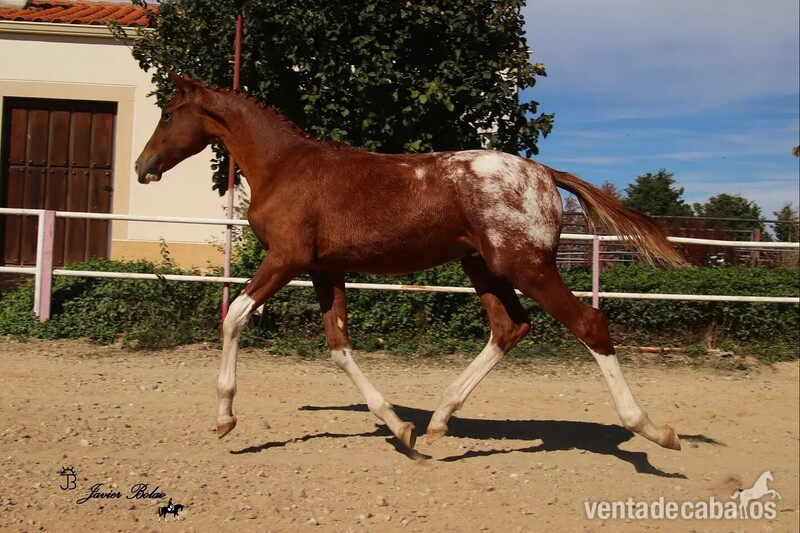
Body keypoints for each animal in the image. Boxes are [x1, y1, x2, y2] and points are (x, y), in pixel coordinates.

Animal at [135, 72, 687, 452]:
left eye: (168, 113)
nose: (143, 167)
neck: (285, 166)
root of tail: (545, 172)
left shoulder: (286, 258)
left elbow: (233, 316)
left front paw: (225, 417)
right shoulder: (324, 269)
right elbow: (339, 346)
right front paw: (400, 426)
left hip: (525, 266)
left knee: (589, 323)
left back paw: (653, 430)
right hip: (483, 268)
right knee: (510, 327)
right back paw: (440, 418)